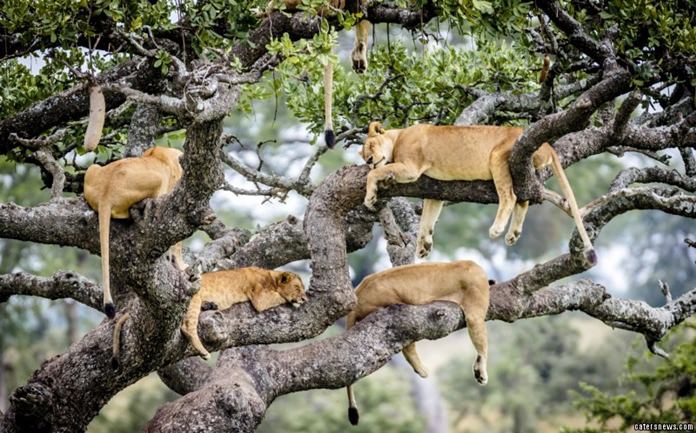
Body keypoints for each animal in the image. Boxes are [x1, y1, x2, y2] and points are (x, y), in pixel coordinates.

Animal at [346, 260, 490, 426]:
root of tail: (358, 292)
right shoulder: (475, 308)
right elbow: (482, 346)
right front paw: (481, 373)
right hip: (400, 313)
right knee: (408, 346)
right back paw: (422, 370)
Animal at [362, 120, 596, 264]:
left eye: (371, 146)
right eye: (363, 154)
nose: (368, 160)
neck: (399, 136)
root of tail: (547, 144)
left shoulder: (411, 168)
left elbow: (375, 173)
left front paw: (369, 197)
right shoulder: (434, 191)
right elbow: (427, 220)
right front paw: (424, 246)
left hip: (498, 156)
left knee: (510, 196)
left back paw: (497, 229)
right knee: (524, 199)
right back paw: (513, 234)